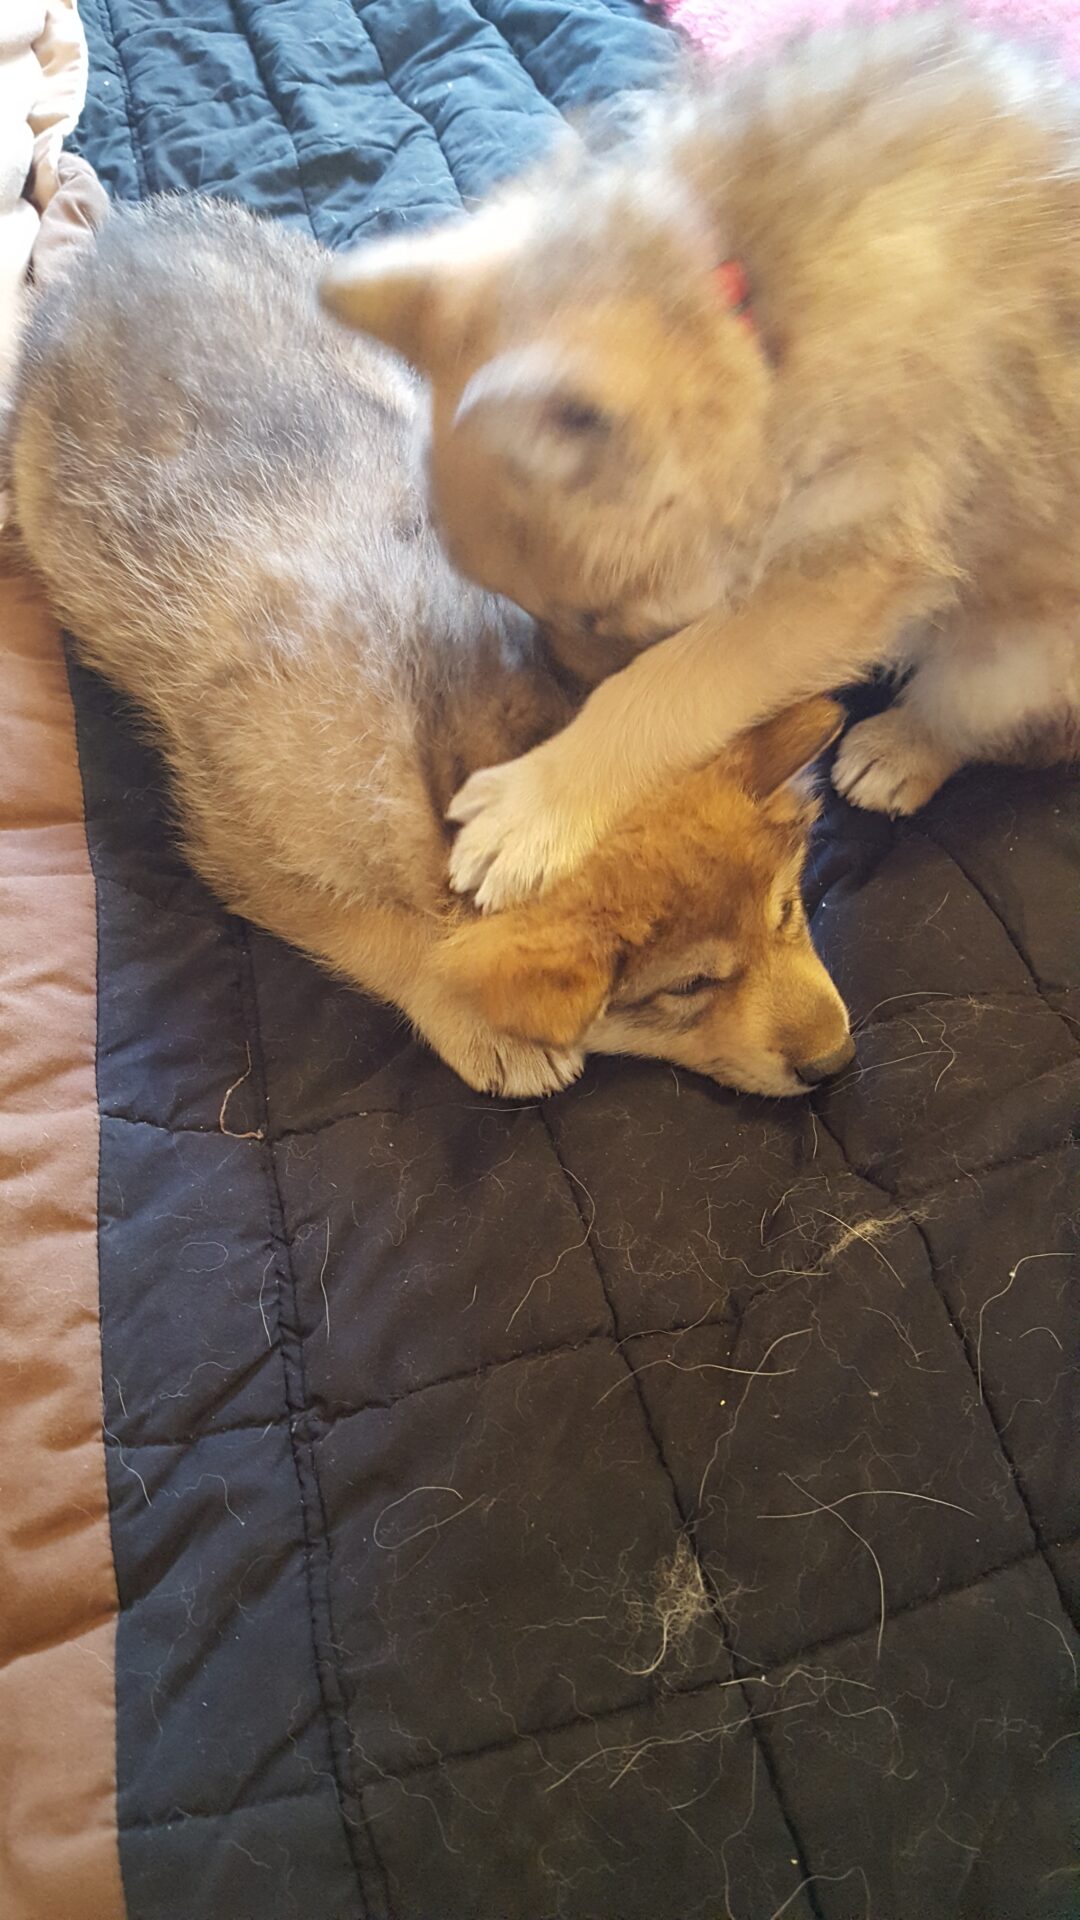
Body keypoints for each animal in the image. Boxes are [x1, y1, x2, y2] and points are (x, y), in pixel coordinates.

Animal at [8, 194, 849, 1105]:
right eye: (690, 987)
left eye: (787, 911)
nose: (836, 1061)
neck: (451, 729)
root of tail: (117, 237)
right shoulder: (244, 855)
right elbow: (390, 938)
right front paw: (477, 1020)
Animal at [320, 13, 1076, 913]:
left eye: (601, 617)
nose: (560, 695)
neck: (748, 310)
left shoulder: (840, 574)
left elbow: (669, 686)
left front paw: (538, 802)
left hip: (1023, 653)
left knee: (1000, 722)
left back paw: (903, 746)